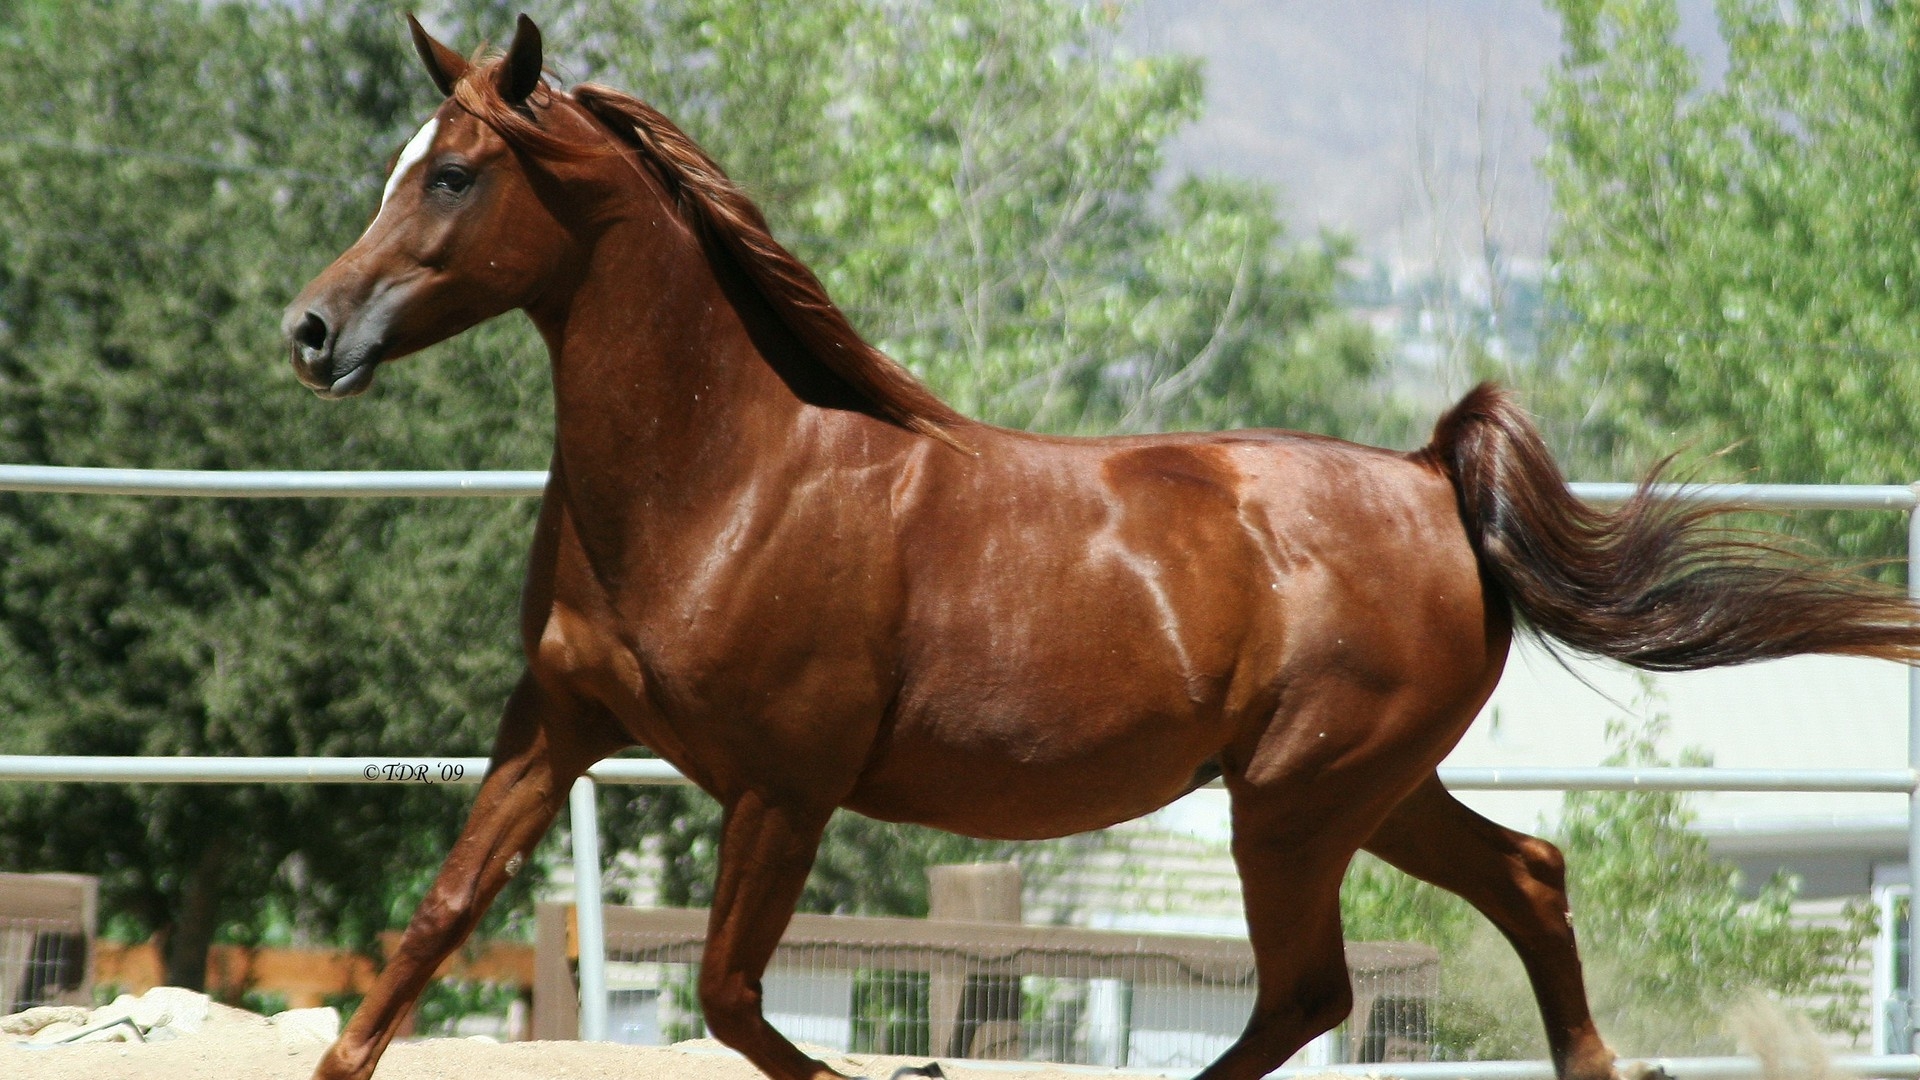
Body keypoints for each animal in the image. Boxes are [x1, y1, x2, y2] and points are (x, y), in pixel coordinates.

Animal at [281, 15, 1920, 1080]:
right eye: (399, 164)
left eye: (453, 175)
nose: (311, 329)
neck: (731, 479)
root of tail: (1428, 481)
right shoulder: (556, 724)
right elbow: (430, 932)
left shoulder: (785, 785)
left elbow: (736, 1000)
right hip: (1367, 792)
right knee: (1525, 879)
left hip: (1297, 804)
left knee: (1310, 991)